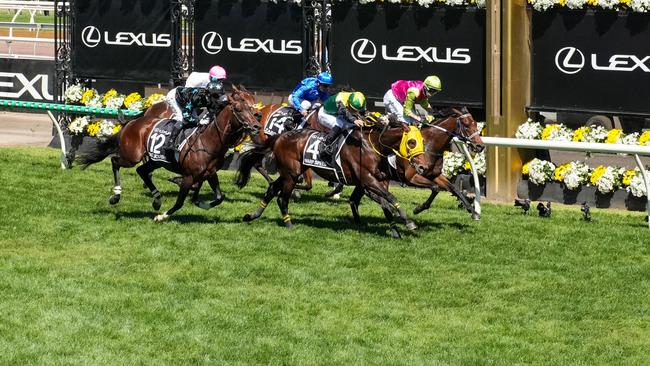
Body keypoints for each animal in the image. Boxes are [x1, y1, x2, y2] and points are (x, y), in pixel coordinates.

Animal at [76, 87, 258, 222]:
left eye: (250, 107)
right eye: (238, 109)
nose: (256, 125)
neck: (208, 141)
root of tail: (133, 122)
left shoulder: (210, 173)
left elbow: (219, 197)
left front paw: (200, 203)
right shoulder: (189, 176)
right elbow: (179, 202)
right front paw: (161, 216)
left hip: (156, 160)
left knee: (142, 171)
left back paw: (157, 199)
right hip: (132, 156)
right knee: (115, 161)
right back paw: (116, 196)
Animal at [234, 121, 430, 239]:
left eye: (422, 141)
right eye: (411, 142)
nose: (423, 167)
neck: (373, 146)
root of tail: (280, 136)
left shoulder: (376, 182)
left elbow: (385, 204)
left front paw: (395, 230)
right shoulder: (368, 181)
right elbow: (390, 198)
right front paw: (408, 222)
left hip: (291, 172)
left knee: (272, 188)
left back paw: (252, 215)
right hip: (291, 173)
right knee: (282, 198)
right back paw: (289, 224)